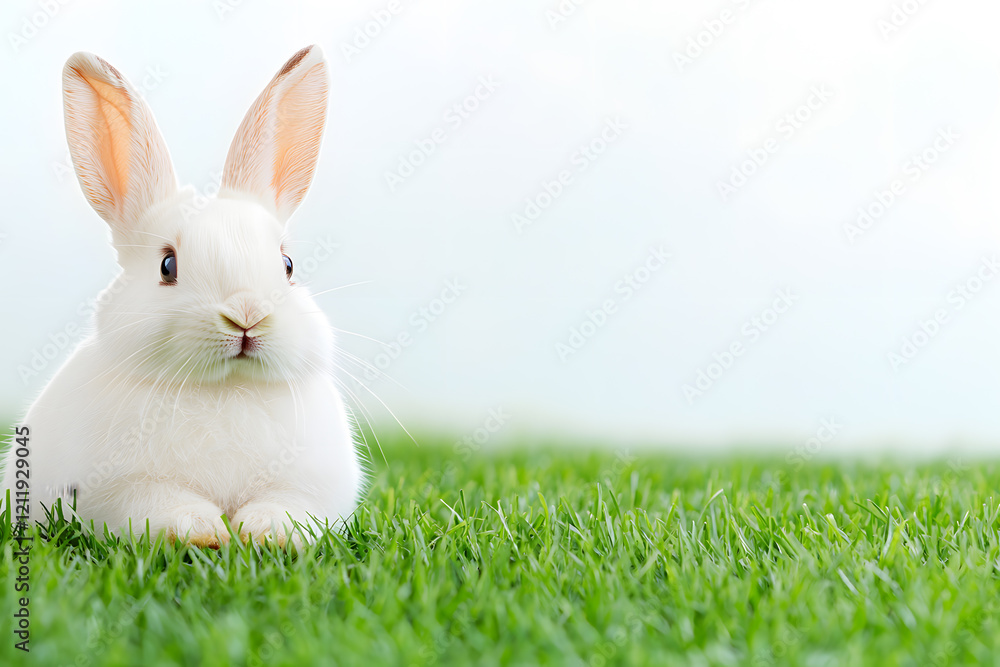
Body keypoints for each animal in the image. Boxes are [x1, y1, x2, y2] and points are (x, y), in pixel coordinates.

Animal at [0, 45, 364, 548]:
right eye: (167, 266)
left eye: (288, 266)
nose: (246, 314)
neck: (225, 389)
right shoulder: (124, 491)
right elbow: (164, 507)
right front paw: (206, 533)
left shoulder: (311, 486)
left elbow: (288, 507)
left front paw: (264, 532)